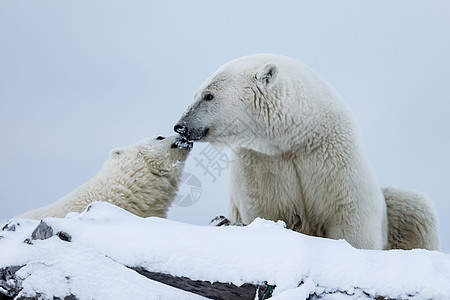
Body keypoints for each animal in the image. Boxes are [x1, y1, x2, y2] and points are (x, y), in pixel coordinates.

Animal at [176, 54, 440, 251]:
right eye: (197, 94)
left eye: (209, 95)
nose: (180, 126)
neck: (297, 135)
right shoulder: (259, 164)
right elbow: (267, 211)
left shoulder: (334, 157)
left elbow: (351, 218)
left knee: (415, 208)